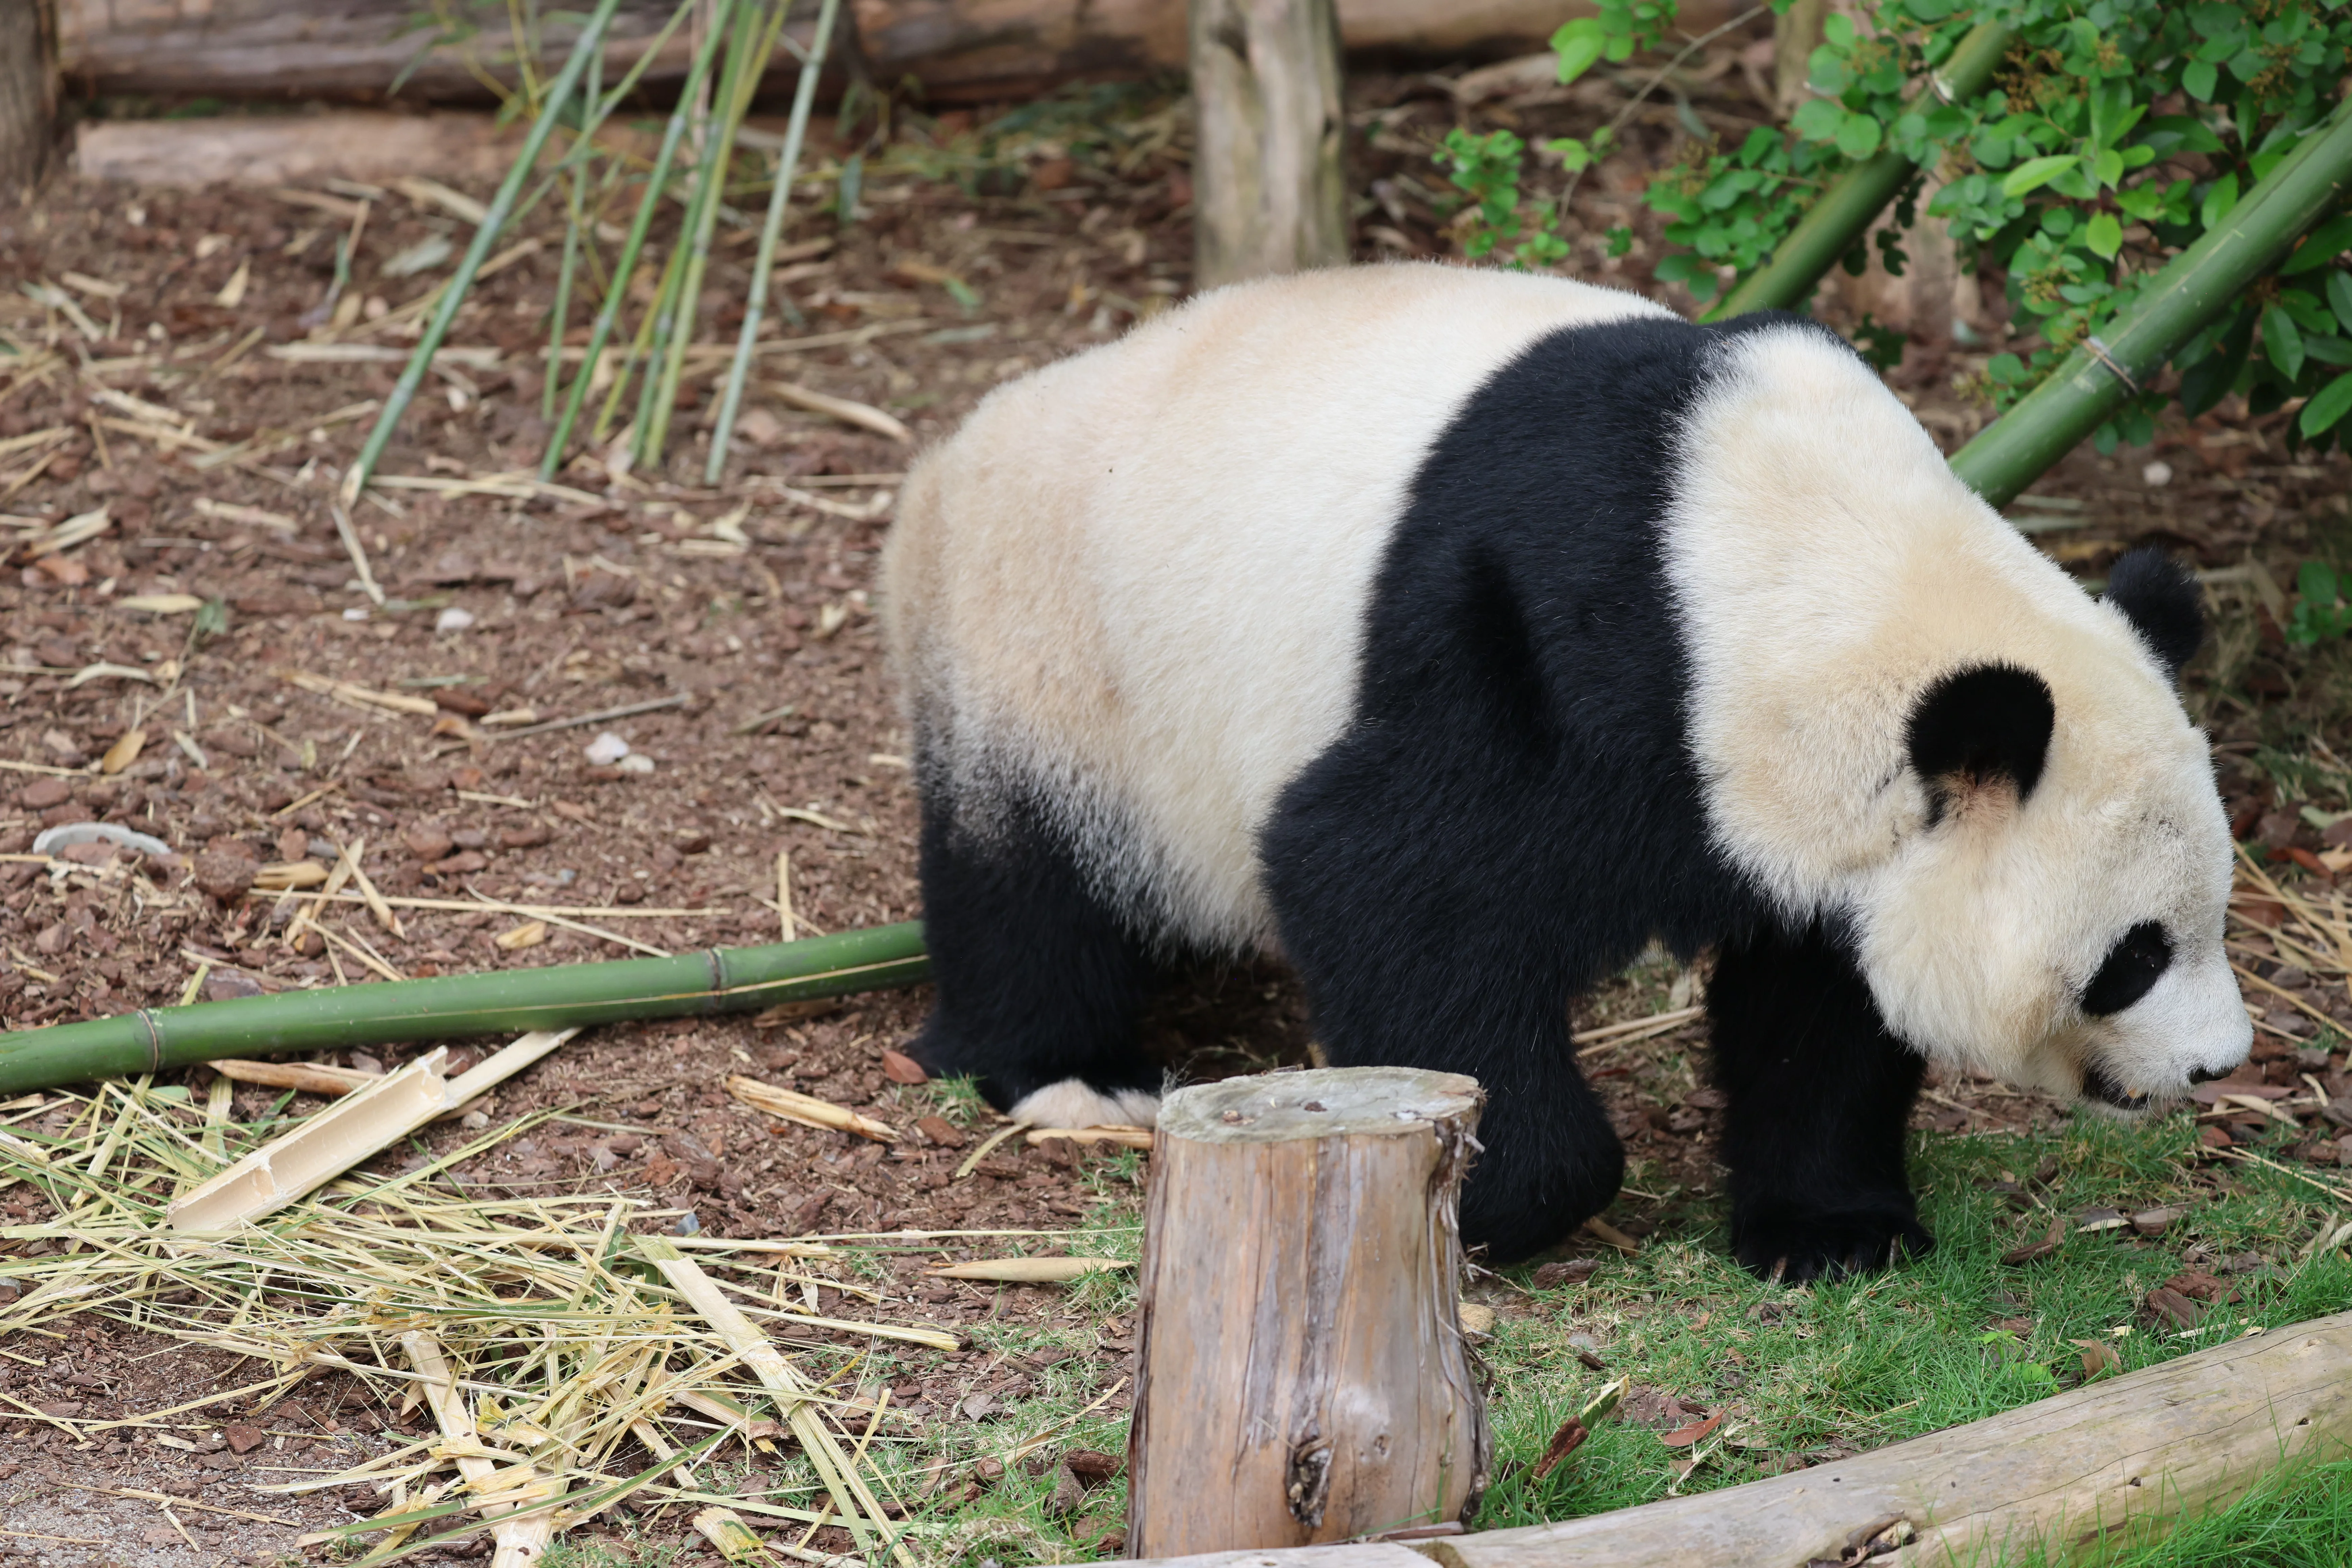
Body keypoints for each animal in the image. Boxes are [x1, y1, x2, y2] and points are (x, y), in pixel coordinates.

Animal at [879, 262, 2252, 1281]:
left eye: (2214, 915)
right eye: (2132, 953)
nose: (2218, 1064)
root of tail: (943, 459)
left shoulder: (1794, 805)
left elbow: (1819, 1000)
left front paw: (1833, 1227)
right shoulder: (1551, 647)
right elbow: (1384, 876)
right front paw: (1500, 1195)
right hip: (1051, 644)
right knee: (1026, 870)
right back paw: (1069, 1065)